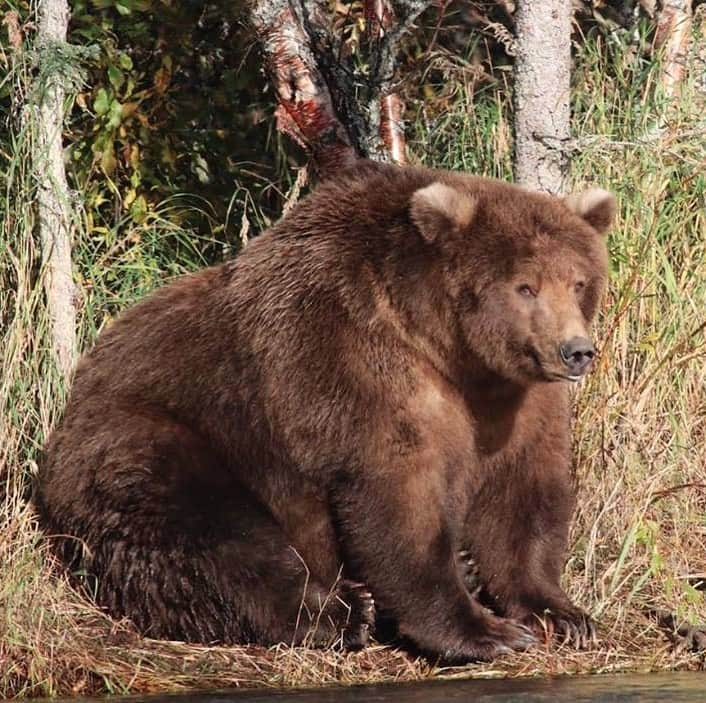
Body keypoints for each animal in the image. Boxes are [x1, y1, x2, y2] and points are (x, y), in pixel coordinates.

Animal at [37, 162, 612, 664]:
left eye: (579, 281)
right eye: (525, 285)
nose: (576, 351)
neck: (449, 350)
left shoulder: (515, 401)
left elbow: (522, 493)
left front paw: (560, 613)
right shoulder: (354, 363)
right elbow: (399, 497)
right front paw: (484, 631)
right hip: (155, 440)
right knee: (214, 538)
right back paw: (344, 613)